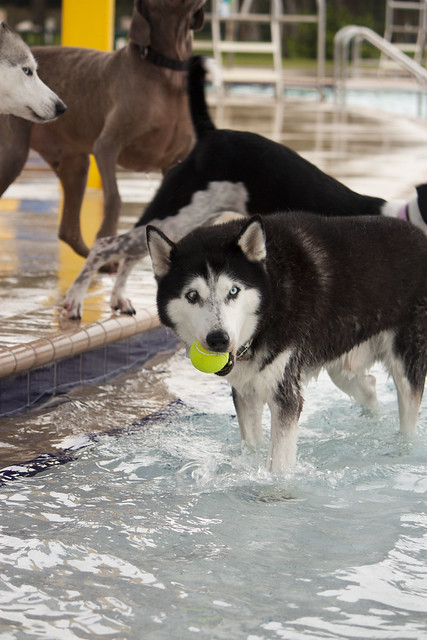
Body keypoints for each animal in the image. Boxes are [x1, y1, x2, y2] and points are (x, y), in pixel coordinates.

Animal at [0, 2, 206, 258]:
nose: (62, 107)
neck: (165, 71)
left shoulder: (174, 162)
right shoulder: (106, 147)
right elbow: (114, 198)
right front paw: (107, 236)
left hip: (75, 163)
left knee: (68, 231)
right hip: (13, 156)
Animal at [148, 212, 427, 472]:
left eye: (233, 291)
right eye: (192, 295)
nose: (219, 340)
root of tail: (419, 234)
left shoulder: (286, 396)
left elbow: (279, 465)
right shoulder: (246, 392)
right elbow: (252, 445)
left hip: (405, 362)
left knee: (408, 408)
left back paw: (403, 448)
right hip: (341, 367)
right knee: (369, 386)